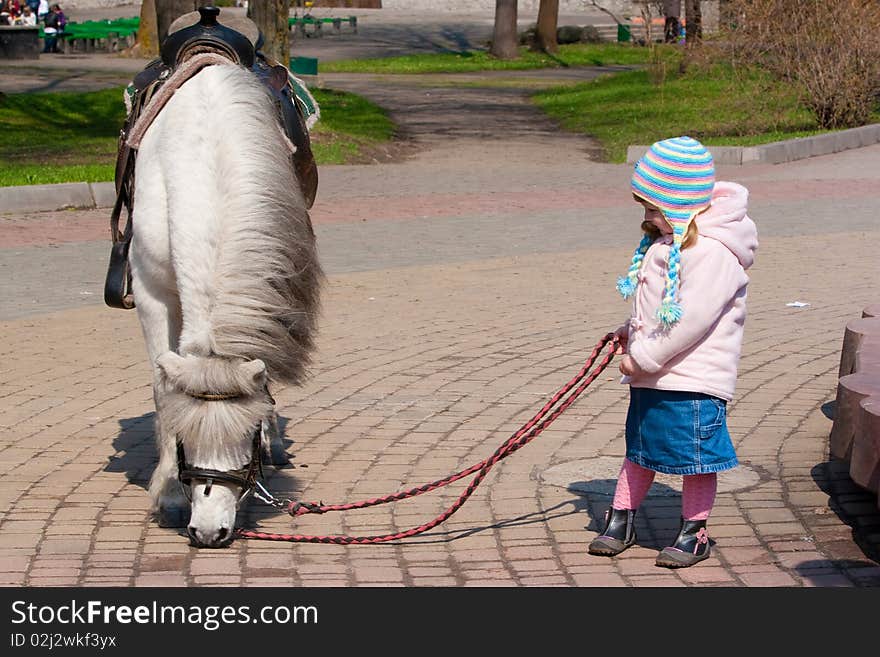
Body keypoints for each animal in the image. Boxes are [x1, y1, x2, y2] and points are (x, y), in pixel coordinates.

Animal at [127, 39, 324, 548]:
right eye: (185, 439)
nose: (209, 532)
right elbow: (162, 389)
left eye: (246, 437)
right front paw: (169, 493)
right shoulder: (152, 296)